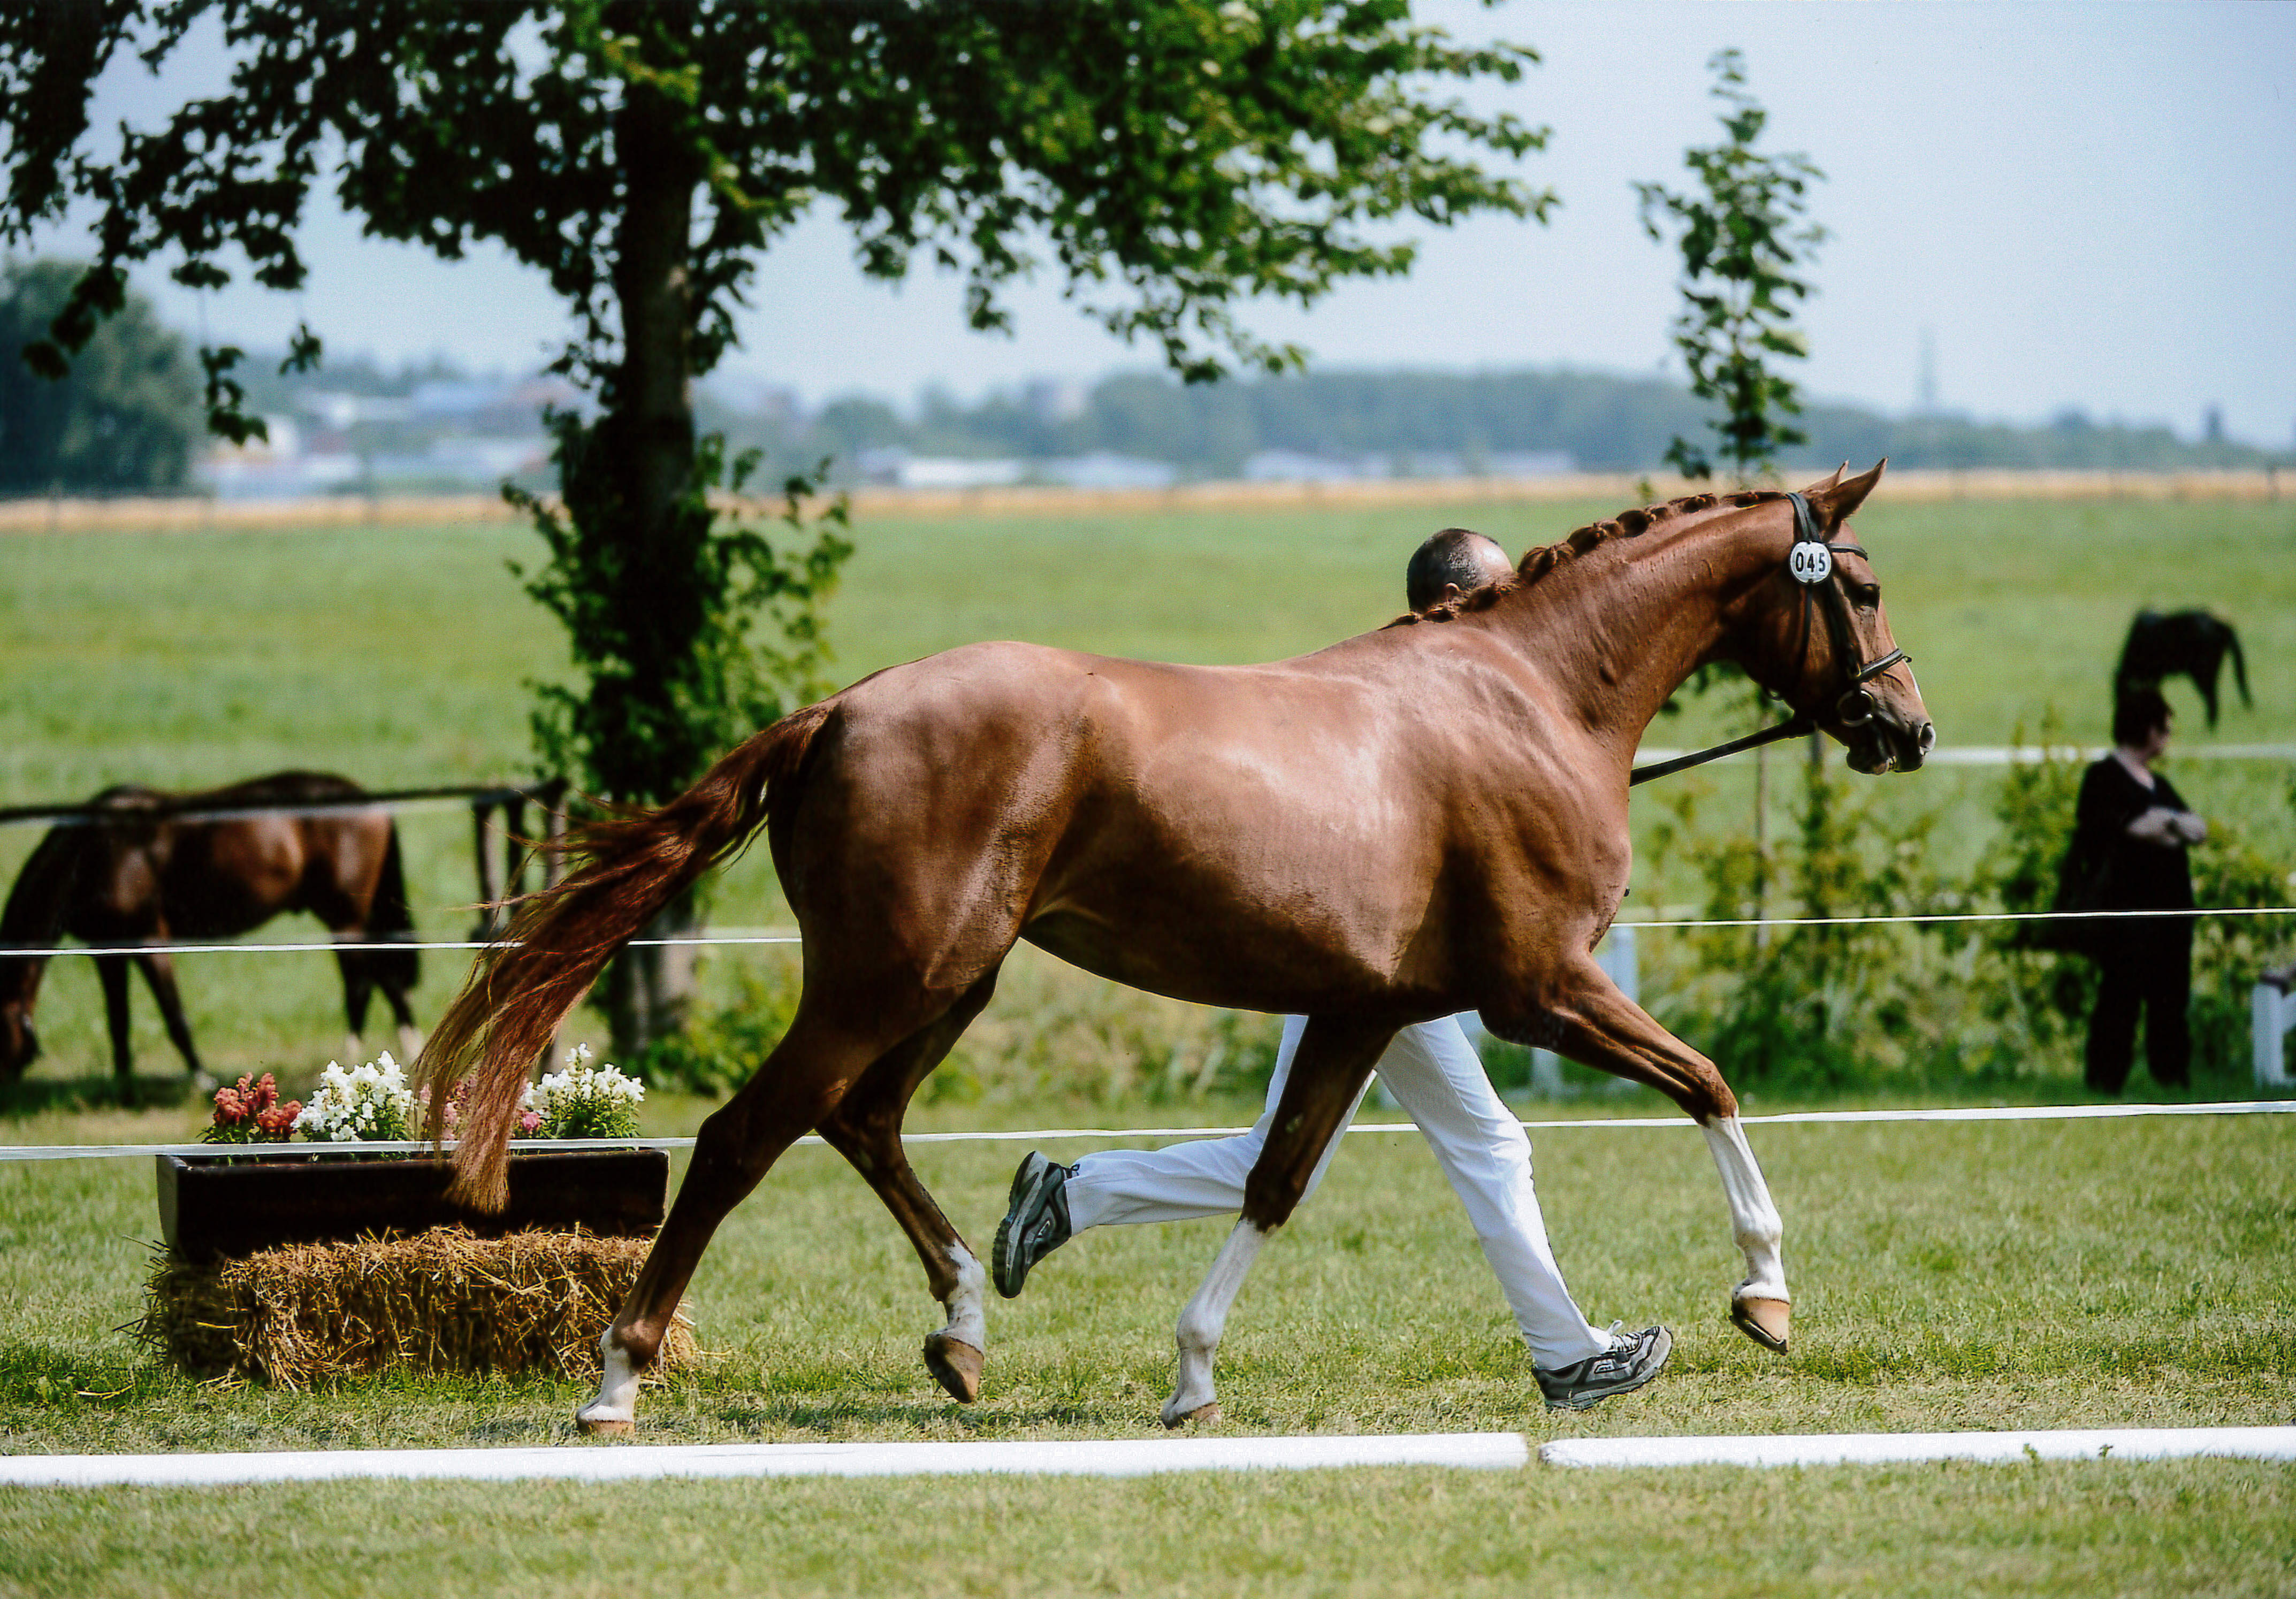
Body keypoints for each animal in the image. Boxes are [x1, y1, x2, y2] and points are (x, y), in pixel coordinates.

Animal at [0, 770, 422, 1087]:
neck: (98, 850)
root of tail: (373, 803)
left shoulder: (149, 941)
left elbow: (175, 1015)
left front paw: (201, 1080)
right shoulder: (107, 952)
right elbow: (118, 1024)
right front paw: (123, 1091)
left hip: (344, 919)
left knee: (363, 983)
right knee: (385, 980)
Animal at [422, 458, 1928, 1422]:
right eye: (1854, 586)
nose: (1904, 730)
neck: (1530, 696)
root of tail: (838, 711)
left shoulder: (1369, 1011)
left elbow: (1273, 1181)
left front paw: (1194, 1373)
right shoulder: (1536, 991)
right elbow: (1711, 1085)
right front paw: (1763, 1295)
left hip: (951, 982)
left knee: (863, 1122)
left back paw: (967, 1327)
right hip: (887, 975)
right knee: (746, 1137)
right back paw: (618, 1380)